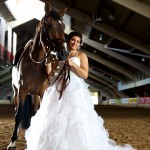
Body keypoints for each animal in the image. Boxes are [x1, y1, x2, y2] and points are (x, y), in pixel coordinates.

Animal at [7, 1, 69, 149]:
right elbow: (19, 115)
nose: (63, 53)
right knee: (17, 110)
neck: (34, 63)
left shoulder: (41, 93)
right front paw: (13, 141)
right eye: (49, 24)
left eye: (63, 26)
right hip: (16, 92)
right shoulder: (22, 91)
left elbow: (37, 114)